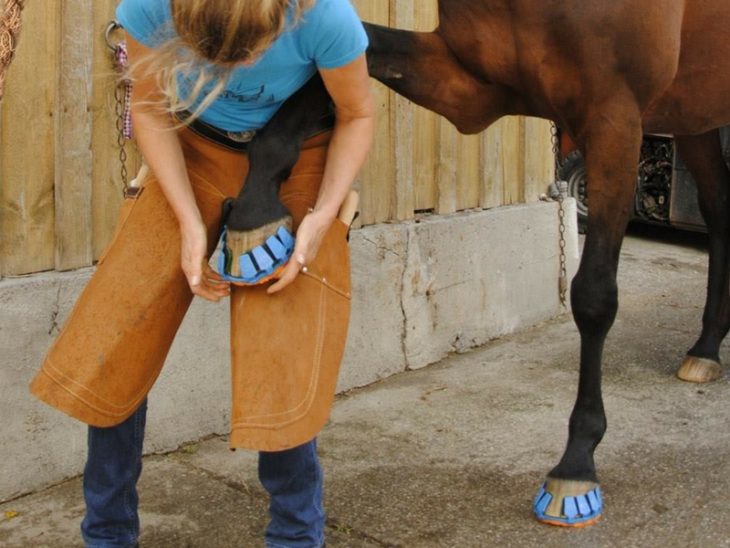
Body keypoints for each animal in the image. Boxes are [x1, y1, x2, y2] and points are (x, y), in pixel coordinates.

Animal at [222, 0, 728, 528]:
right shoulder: (468, 89)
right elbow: (350, 55)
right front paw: (255, 220)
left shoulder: (615, 120)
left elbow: (594, 298)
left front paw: (576, 468)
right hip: (697, 117)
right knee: (719, 212)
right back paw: (705, 350)